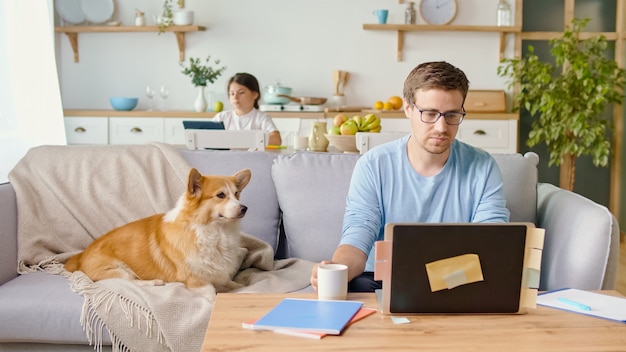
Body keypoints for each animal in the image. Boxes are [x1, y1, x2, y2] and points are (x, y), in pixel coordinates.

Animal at [63, 168, 249, 300]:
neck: (215, 231)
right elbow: (213, 295)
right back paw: (154, 282)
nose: (244, 208)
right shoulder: (197, 281)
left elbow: (232, 284)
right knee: (131, 283)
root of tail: (80, 257)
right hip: (118, 269)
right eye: (220, 195)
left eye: (236, 194)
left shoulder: (219, 275)